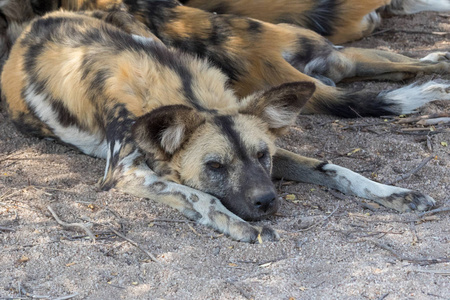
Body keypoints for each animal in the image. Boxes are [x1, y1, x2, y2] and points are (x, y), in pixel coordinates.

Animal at [0, 9, 442, 241]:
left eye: (263, 156)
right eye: (214, 166)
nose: (267, 202)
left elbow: (337, 169)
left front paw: (394, 193)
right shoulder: (127, 173)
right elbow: (202, 198)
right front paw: (242, 226)